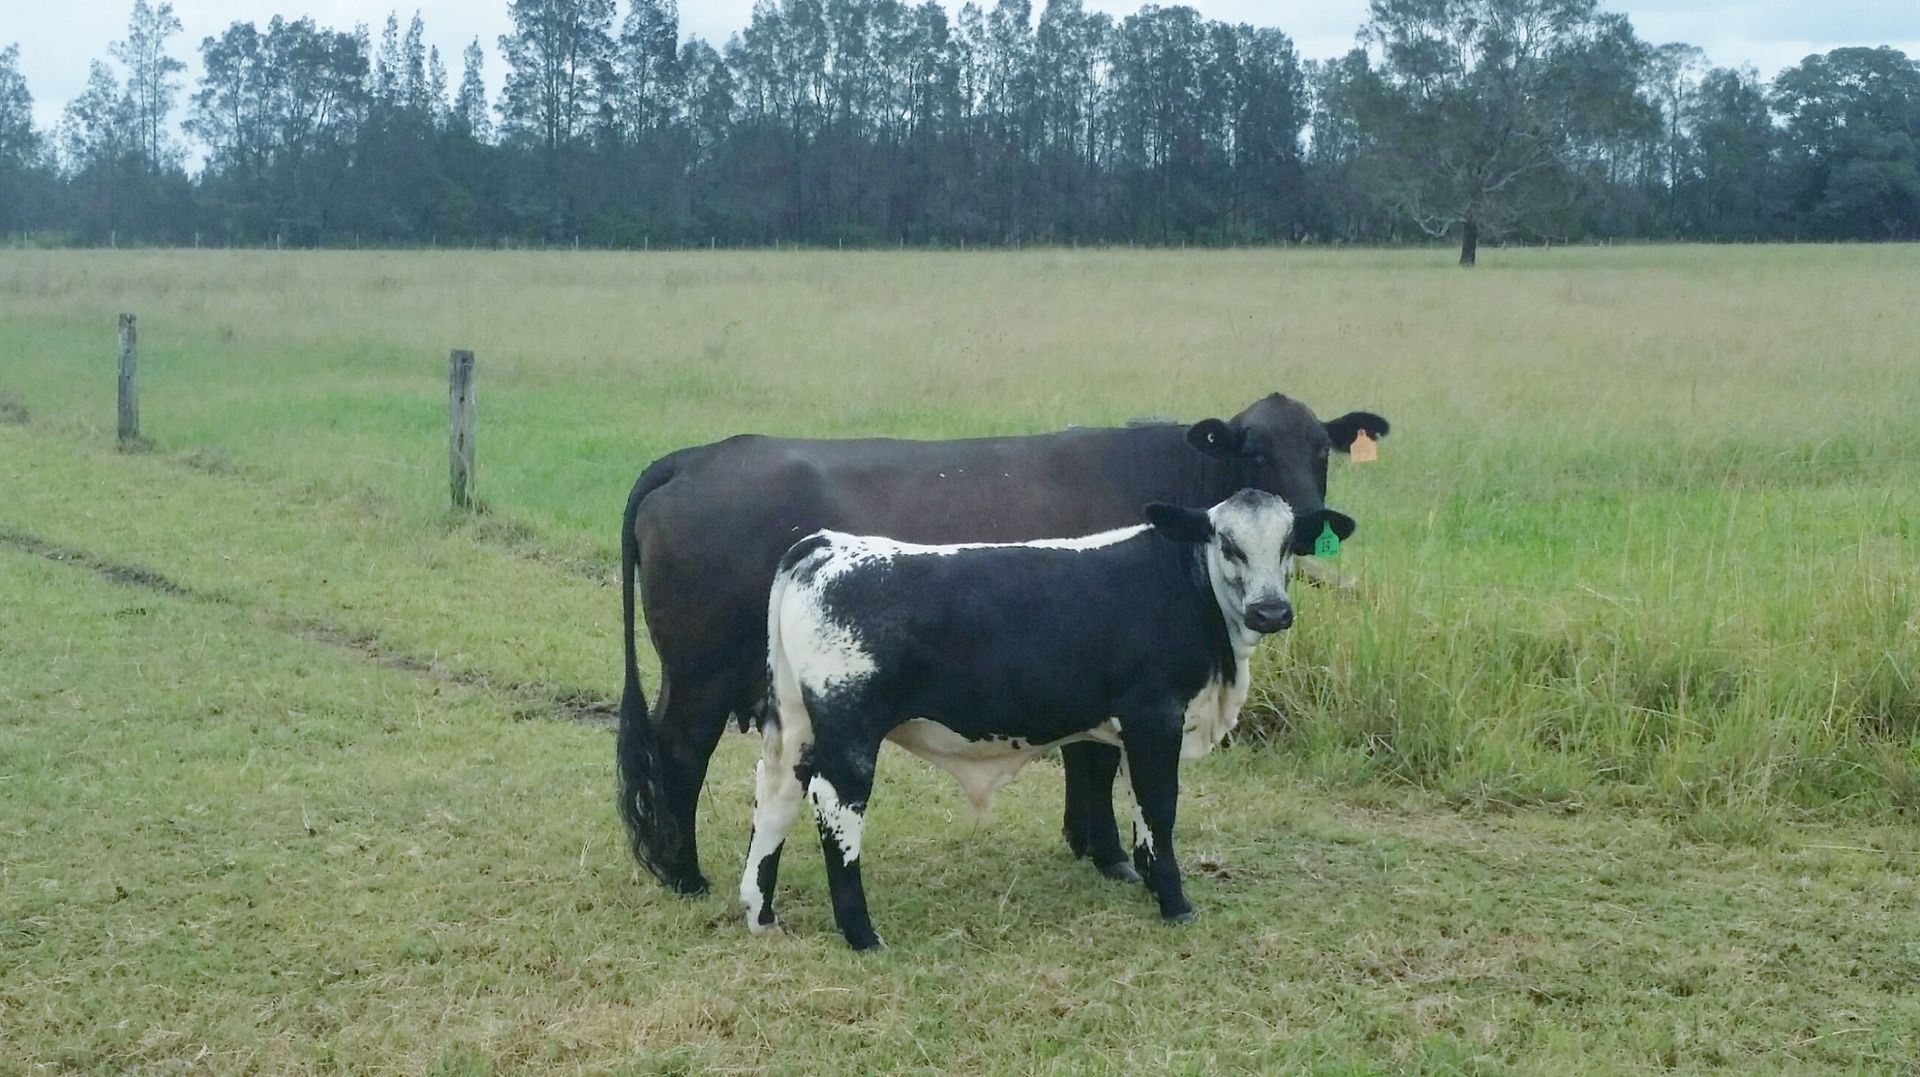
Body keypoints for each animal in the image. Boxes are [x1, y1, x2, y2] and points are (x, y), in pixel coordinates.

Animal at [620, 395, 1389, 896]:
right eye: (1254, 450)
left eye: (1320, 449)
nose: (1309, 517)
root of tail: (699, 457)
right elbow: (1095, 762)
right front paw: (1111, 854)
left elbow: (1088, 756)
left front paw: (1088, 845)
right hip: (703, 672)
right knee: (680, 749)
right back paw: (684, 874)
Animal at [743, 490, 1354, 949]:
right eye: (1226, 543)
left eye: (1289, 545)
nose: (1271, 611)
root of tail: (826, 544)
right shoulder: (1155, 716)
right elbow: (1158, 803)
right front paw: (1175, 901)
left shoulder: (1117, 722)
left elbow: (1121, 794)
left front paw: (1137, 873)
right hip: (850, 733)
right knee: (835, 807)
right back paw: (861, 934)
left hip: (797, 724)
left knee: (776, 795)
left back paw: (760, 912)